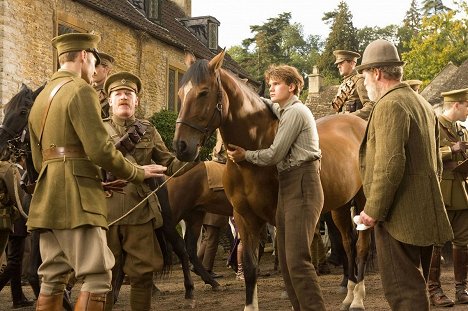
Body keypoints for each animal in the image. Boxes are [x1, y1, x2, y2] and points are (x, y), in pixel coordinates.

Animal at [174, 51, 372, 311]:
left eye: (204, 92)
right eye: (180, 93)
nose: (181, 146)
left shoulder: (280, 217)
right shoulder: (244, 218)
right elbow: (250, 267)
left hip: (362, 201)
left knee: (361, 246)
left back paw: (358, 298)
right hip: (339, 206)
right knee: (348, 243)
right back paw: (348, 294)